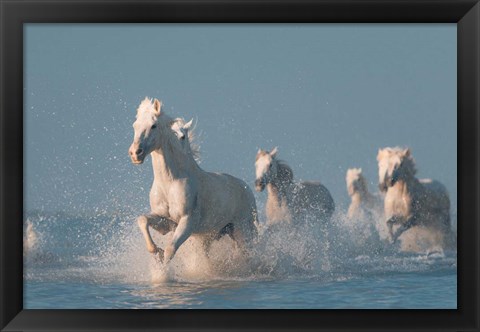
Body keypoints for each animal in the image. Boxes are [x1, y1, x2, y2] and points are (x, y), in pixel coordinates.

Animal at [129, 97, 258, 264]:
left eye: (153, 125)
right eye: (135, 125)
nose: (135, 153)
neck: (170, 182)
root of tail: (246, 188)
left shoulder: (187, 222)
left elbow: (170, 250)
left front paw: (163, 264)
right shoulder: (166, 221)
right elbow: (143, 219)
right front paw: (156, 251)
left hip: (243, 231)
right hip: (212, 235)